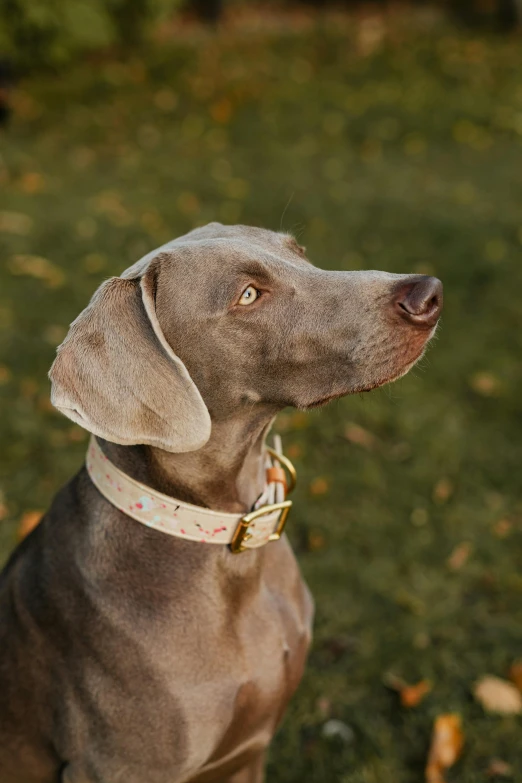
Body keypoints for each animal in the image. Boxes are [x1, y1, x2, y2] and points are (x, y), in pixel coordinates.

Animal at [0, 224, 438, 780]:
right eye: (248, 295)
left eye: (299, 253)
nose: (428, 292)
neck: (225, 543)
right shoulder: (120, 767)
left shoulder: (248, 753)